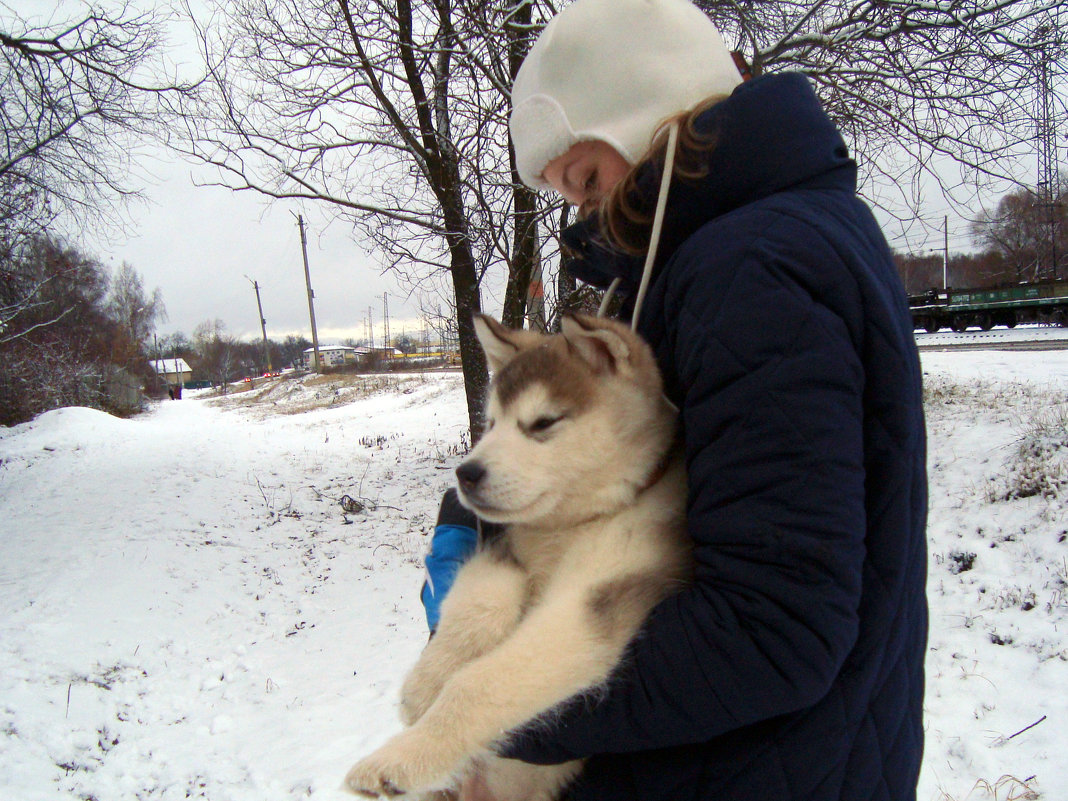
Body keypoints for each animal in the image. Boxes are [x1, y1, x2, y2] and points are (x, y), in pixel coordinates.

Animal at [346, 313, 687, 801]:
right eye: (491, 423)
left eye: (542, 423)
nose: (465, 474)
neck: (569, 526)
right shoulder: (504, 551)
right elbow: (479, 606)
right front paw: (424, 684)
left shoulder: (595, 598)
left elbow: (476, 683)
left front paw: (401, 757)